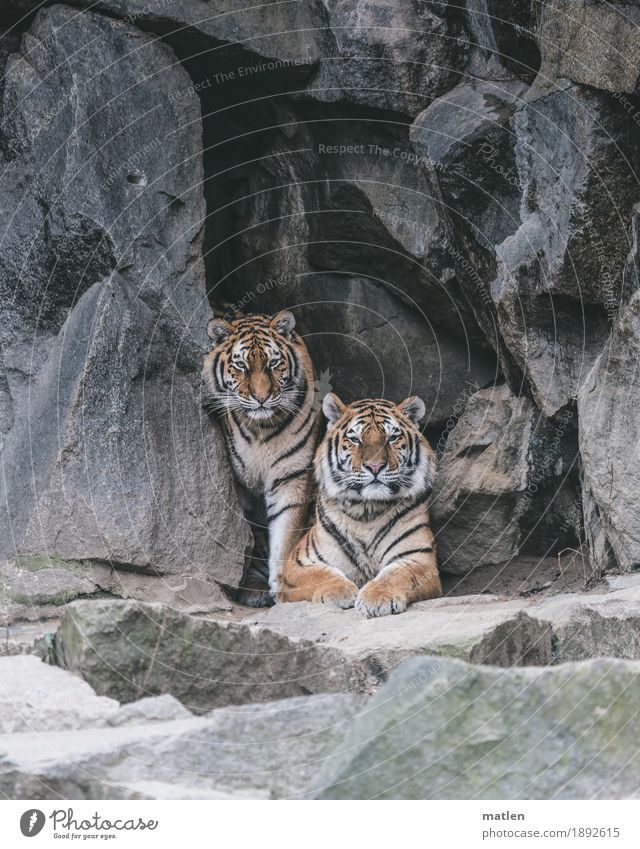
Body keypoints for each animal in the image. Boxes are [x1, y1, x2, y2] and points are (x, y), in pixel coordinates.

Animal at [201, 308, 318, 608]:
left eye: (274, 363)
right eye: (241, 366)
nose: (262, 398)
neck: (261, 429)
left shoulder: (291, 477)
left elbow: (284, 535)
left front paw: (283, 586)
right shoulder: (240, 486)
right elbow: (250, 536)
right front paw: (249, 584)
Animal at [278, 390, 442, 616]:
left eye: (392, 437)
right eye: (355, 438)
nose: (375, 467)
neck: (367, 510)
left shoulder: (419, 559)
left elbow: (397, 574)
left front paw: (378, 598)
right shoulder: (299, 562)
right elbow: (319, 575)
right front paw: (340, 591)